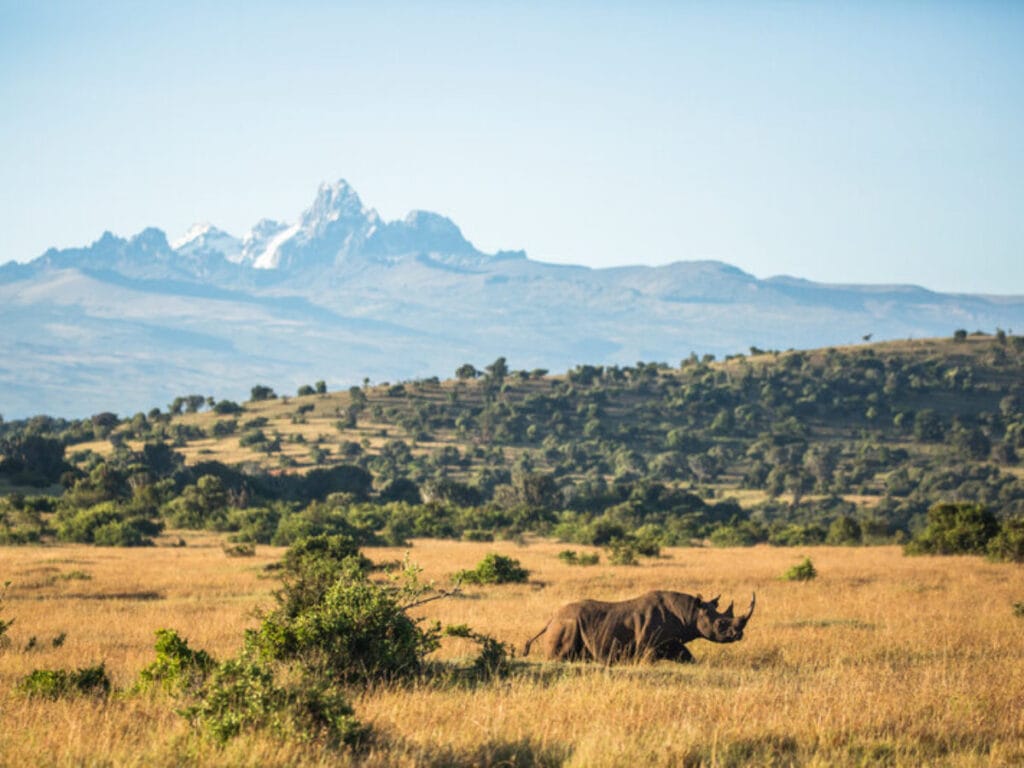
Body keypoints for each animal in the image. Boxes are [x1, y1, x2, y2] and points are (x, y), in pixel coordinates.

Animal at [523, 591, 755, 663]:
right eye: (721, 623)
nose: (739, 634)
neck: (690, 613)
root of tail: (550, 619)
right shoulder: (649, 644)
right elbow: (648, 660)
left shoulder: (671, 641)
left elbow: (687, 656)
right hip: (566, 625)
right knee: (560, 656)